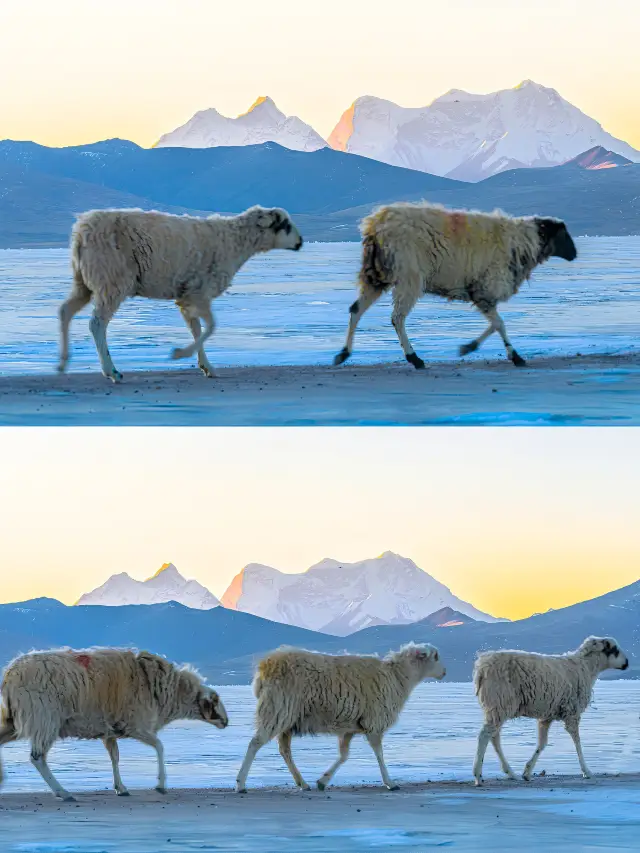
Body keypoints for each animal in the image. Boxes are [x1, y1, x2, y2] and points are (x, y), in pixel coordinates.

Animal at [0, 644, 229, 800]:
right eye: (215, 700)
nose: (226, 722)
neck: (168, 691)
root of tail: (9, 675)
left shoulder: (109, 730)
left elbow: (115, 758)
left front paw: (121, 787)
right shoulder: (137, 725)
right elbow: (159, 746)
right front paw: (161, 784)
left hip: (15, 721)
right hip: (44, 719)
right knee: (38, 758)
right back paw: (63, 792)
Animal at [235, 644, 444, 796]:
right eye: (435, 656)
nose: (444, 672)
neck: (398, 677)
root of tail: (265, 667)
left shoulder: (350, 727)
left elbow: (344, 755)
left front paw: (323, 781)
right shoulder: (374, 722)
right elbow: (379, 754)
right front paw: (390, 783)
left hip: (286, 717)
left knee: (284, 750)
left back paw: (302, 783)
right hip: (278, 709)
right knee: (255, 743)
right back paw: (240, 784)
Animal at [332, 204, 576, 372]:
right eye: (563, 234)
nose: (575, 254)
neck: (524, 243)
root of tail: (376, 226)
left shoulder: (480, 291)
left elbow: (496, 324)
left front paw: (469, 347)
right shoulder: (486, 289)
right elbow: (499, 324)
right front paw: (513, 356)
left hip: (376, 276)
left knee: (356, 310)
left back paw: (343, 354)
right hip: (408, 276)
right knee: (397, 318)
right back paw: (415, 358)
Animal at [472, 632, 628, 784]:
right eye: (614, 650)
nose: (627, 663)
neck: (586, 668)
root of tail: (482, 667)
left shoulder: (547, 716)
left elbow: (542, 744)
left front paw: (527, 772)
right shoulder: (572, 712)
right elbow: (577, 741)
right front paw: (586, 771)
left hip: (497, 707)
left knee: (494, 737)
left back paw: (510, 773)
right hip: (500, 702)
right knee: (485, 735)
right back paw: (478, 776)